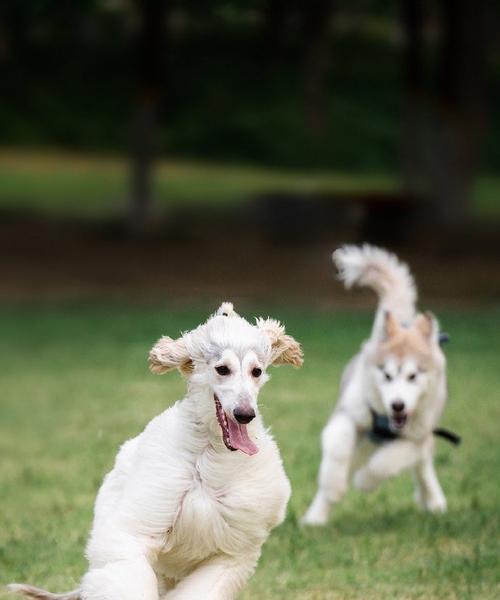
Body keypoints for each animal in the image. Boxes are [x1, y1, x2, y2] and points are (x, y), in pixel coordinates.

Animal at [9, 304, 302, 600]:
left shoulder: (231, 553)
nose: (245, 414)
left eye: (257, 371)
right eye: (222, 369)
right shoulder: (138, 527)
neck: (210, 452)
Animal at [300, 244, 458, 524]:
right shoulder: (346, 415)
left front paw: (365, 481)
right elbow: (338, 449)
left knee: (422, 463)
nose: (398, 405)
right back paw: (316, 518)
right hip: (362, 438)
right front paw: (333, 486)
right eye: (386, 375)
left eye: (413, 376)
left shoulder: (414, 438)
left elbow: (388, 462)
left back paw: (433, 500)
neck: (386, 422)